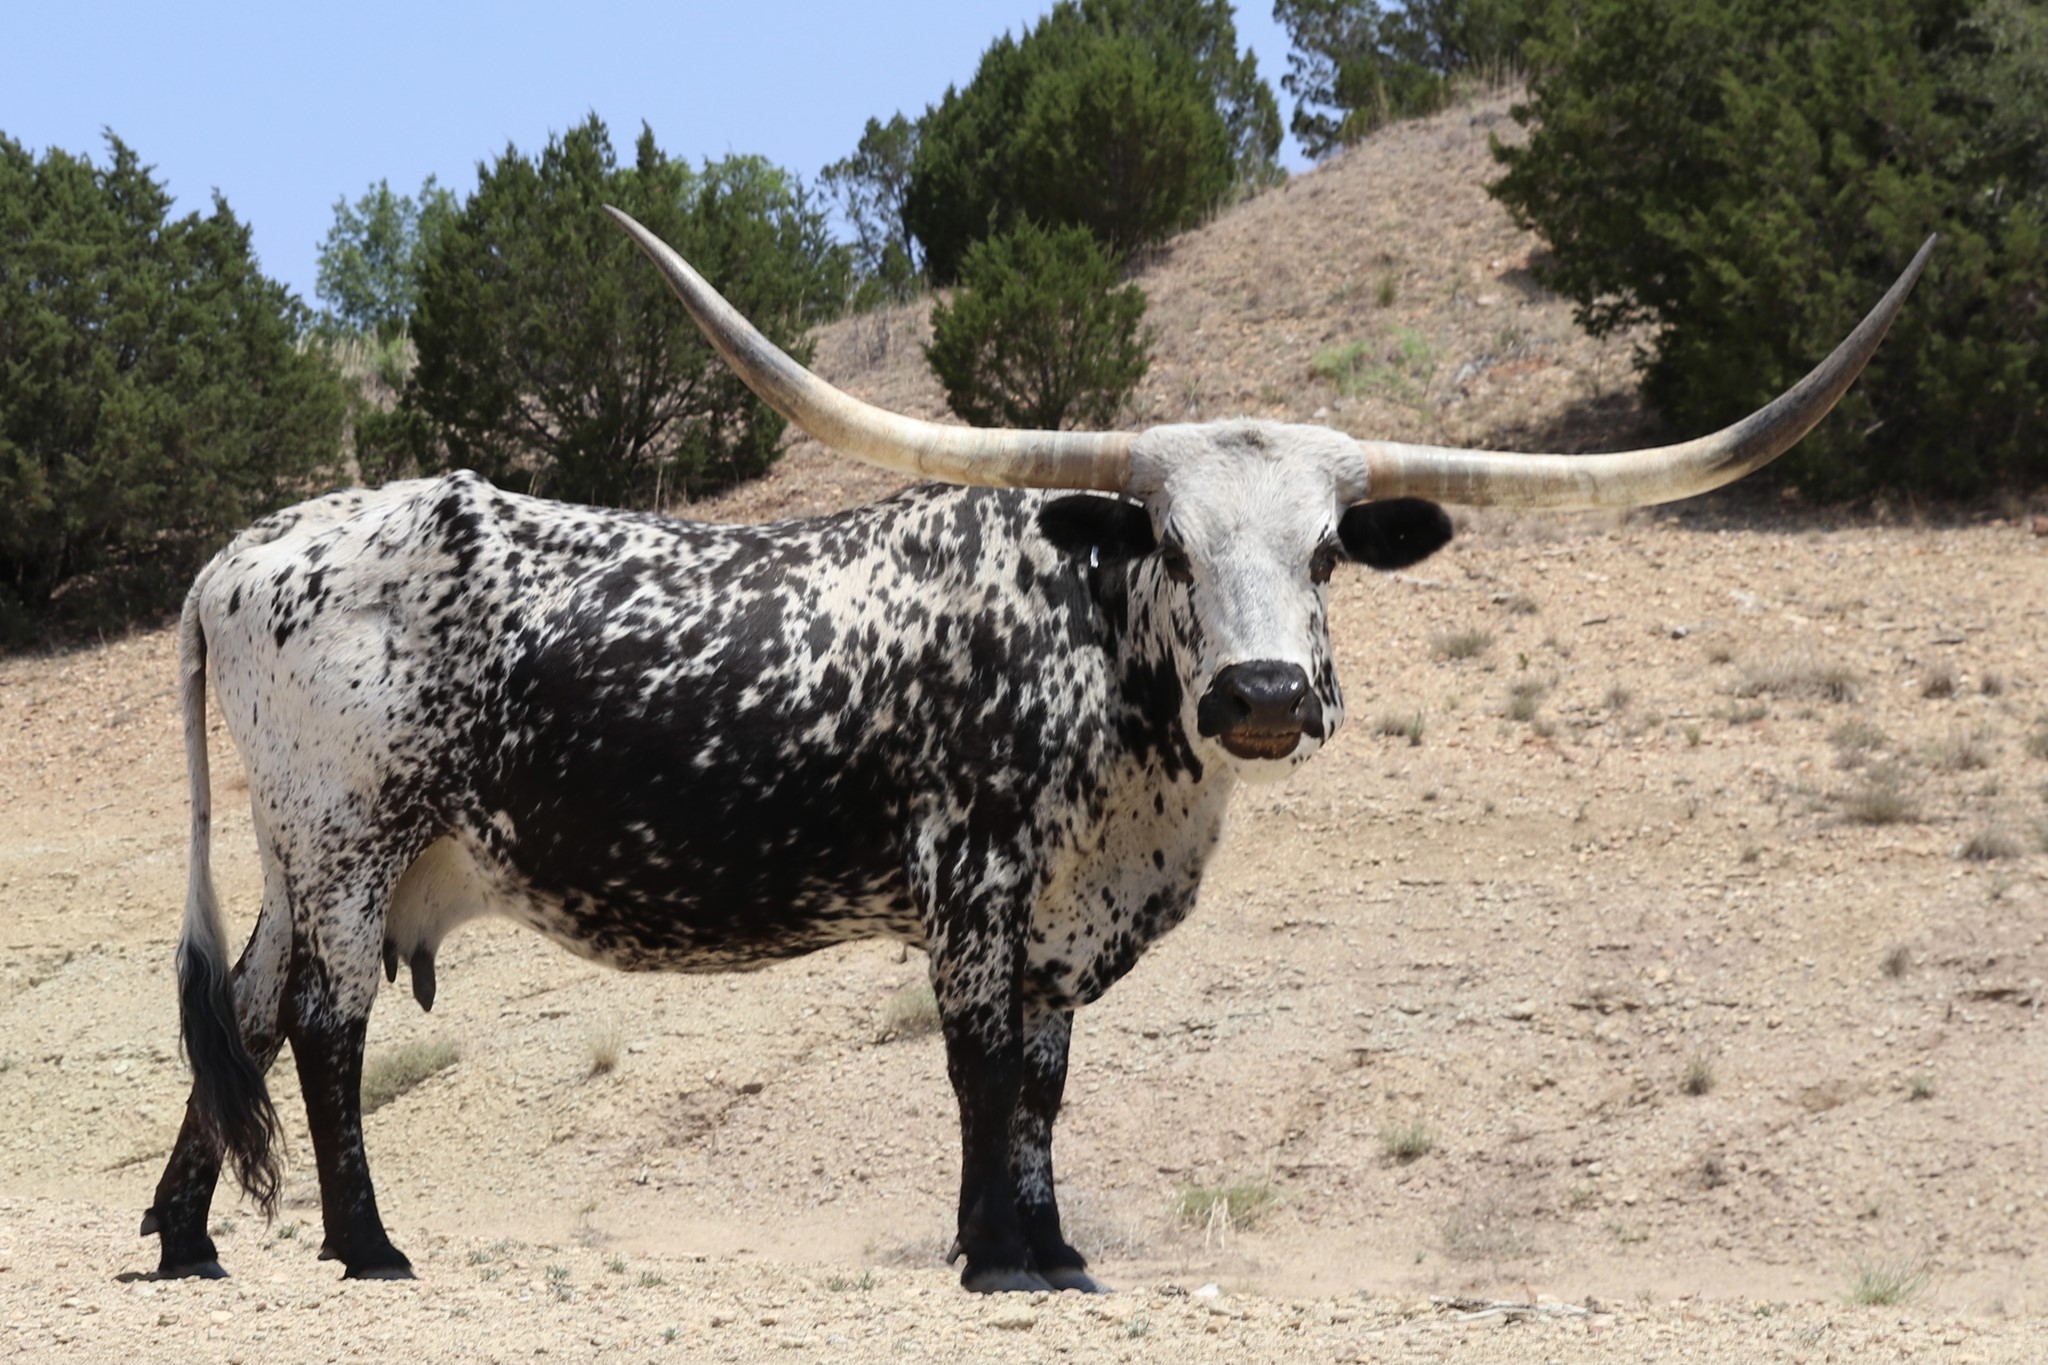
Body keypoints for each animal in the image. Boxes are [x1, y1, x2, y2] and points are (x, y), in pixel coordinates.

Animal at [143, 208, 1930, 1292]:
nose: (1264, 692)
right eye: (1169, 541)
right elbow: (982, 1062)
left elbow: (1050, 1083)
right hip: (352, 832)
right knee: (326, 1025)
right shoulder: (978, 882)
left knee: (245, 1011)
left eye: (1330, 551)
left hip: (321, 854)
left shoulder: (1072, 912)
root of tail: (243, 554)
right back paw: (366, 1247)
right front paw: (992, 1254)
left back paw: (183, 1240)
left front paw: (1049, 1248)